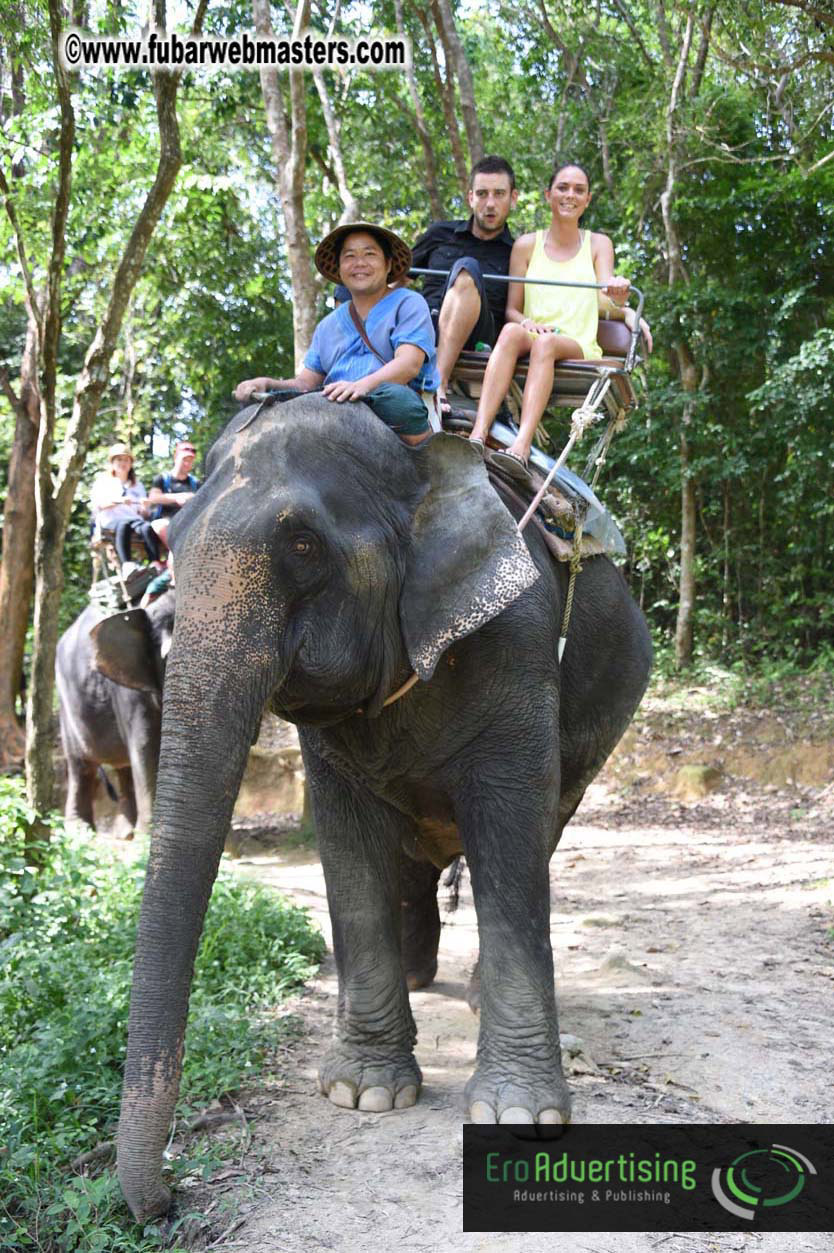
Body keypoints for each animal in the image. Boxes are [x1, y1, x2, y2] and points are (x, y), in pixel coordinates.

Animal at [55, 590, 175, 836]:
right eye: (169, 659)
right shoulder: (129, 688)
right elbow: (145, 746)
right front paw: (148, 836)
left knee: (124, 766)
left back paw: (125, 833)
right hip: (66, 702)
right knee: (81, 766)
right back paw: (81, 830)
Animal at [116, 396, 652, 1222]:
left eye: (303, 542)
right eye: (170, 545)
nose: (164, 1201)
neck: (417, 468)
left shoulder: (520, 638)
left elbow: (509, 828)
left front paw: (520, 1114)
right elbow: (348, 845)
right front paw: (363, 1093)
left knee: (545, 826)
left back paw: (468, 993)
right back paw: (421, 973)